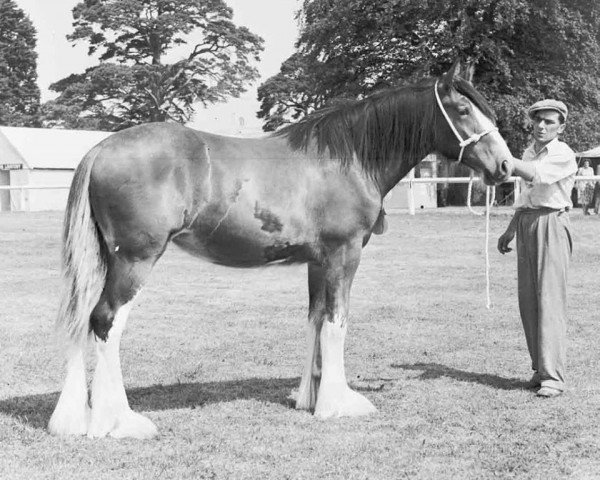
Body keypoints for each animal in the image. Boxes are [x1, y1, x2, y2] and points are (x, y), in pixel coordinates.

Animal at [49, 61, 512, 438]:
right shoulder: (344, 256)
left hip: (107, 260)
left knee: (84, 319)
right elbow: (337, 324)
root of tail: (100, 149)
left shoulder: (317, 263)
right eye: (464, 110)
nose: (506, 166)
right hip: (135, 260)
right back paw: (118, 422)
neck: (347, 157)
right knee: (106, 322)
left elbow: (315, 321)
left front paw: (309, 398)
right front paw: (337, 405)